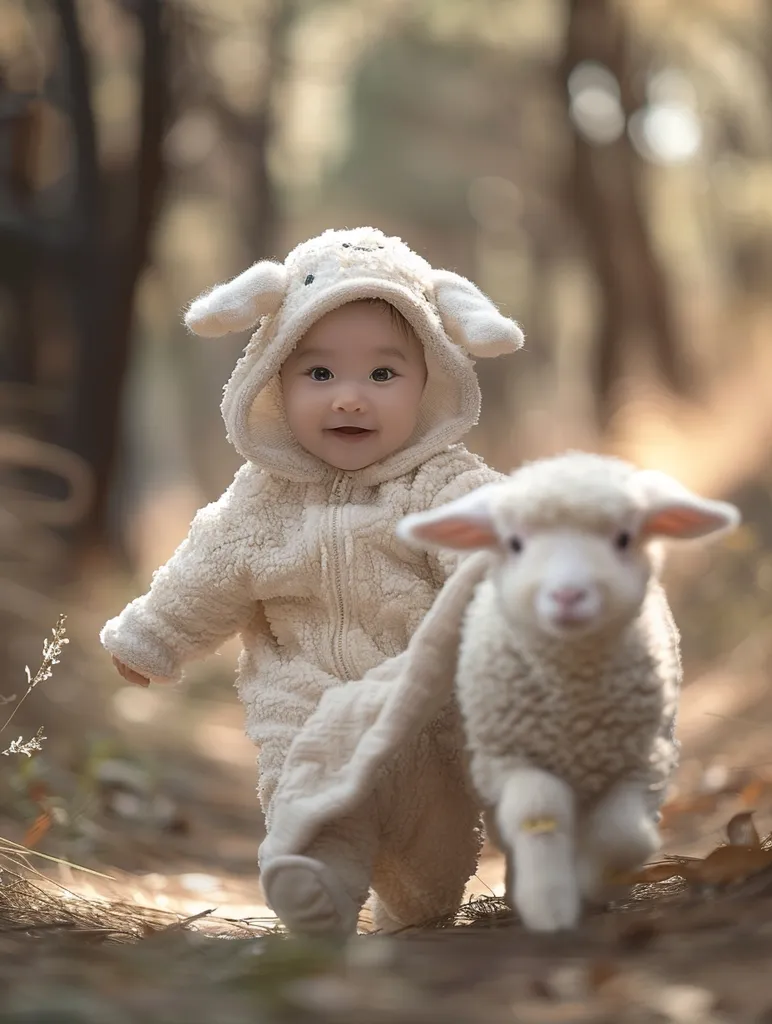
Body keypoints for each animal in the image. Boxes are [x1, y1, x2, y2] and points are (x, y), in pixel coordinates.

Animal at [397, 451, 740, 932]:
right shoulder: (513, 759)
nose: (567, 595)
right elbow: (539, 812)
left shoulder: (644, 762)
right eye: (515, 543)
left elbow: (623, 832)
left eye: (623, 538)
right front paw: (550, 904)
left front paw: (597, 884)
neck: (576, 705)